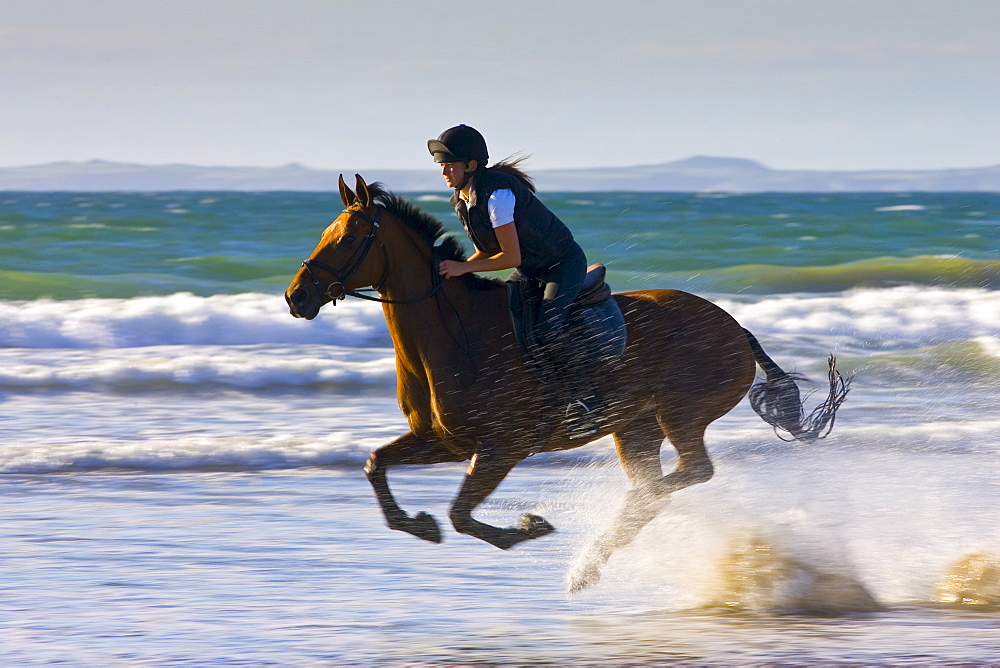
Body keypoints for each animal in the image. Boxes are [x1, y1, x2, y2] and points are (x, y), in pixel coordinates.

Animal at [286, 174, 848, 588]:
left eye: (348, 239)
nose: (296, 297)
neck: (455, 333)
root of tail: (734, 327)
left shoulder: (501, 448)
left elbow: (462, 514)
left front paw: (528, 528)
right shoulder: (442, 440)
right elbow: (376, 465)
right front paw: (419, 526)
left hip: (680, 414)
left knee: (685, 475)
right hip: (635, 427)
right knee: (655, 488)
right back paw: (591, 564)